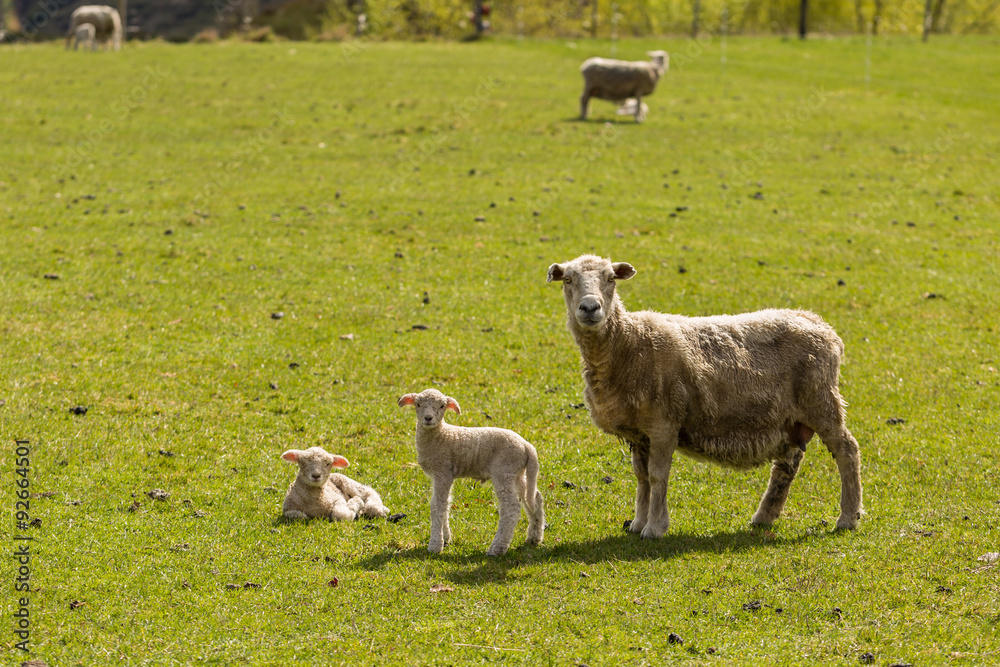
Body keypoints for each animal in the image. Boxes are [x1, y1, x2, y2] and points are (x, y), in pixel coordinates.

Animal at [398, 389, 545, 556]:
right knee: (534, 498)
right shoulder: (446, 474)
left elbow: (437, 506)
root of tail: (526, 445)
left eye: (442, 406)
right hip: (517, 472)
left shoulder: (442, 471)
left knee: (511, 507)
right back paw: (534, 538)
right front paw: (446, 537)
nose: (428, 418)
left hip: (503, 470)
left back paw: (497, 548)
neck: (441, 435)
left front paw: (435, 545)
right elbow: (446, 503)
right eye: (418, 404)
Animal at [547, 254, 863, 538]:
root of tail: (820, 324)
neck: (630, 343)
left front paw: (655, 528)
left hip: (821, 400)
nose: (590, 307)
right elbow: (641, 477)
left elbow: (657, 476)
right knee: (787, 465)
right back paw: (764, 517)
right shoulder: (639, 433)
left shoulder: (664, 423)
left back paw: (848, 518)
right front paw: (637, 524)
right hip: (791, 417)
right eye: (568, 280)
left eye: (611, 278)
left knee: (847, 450)